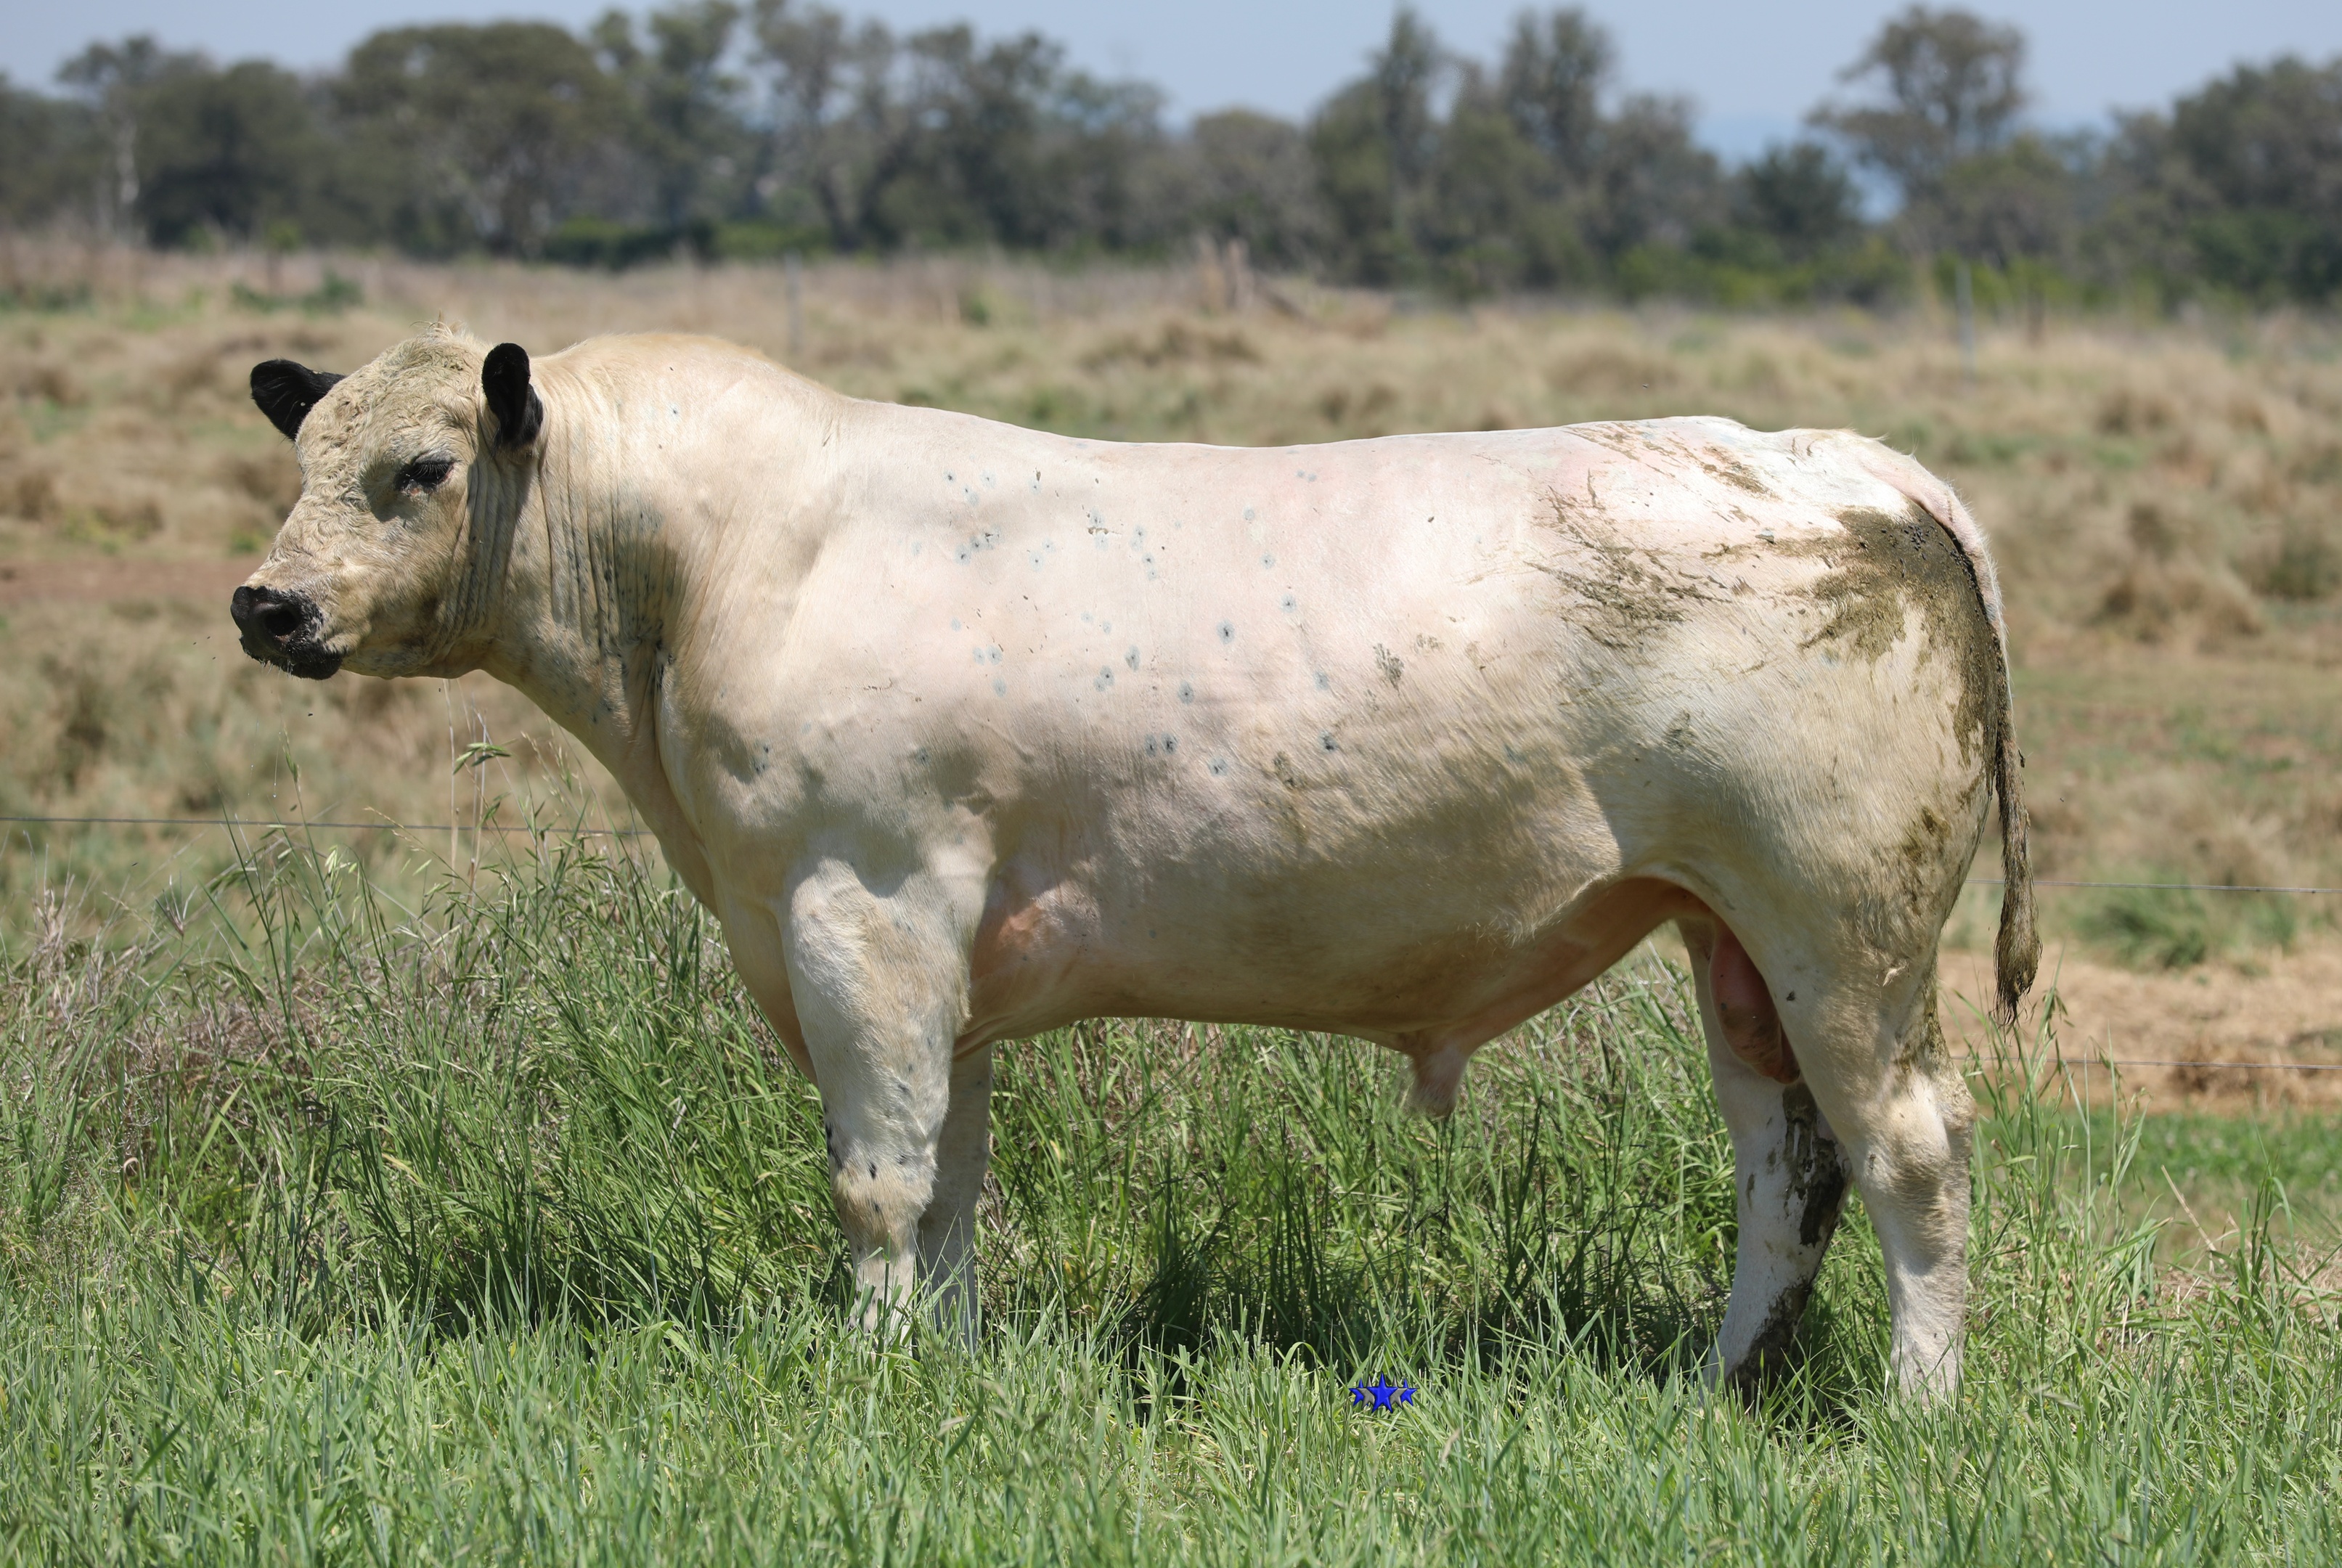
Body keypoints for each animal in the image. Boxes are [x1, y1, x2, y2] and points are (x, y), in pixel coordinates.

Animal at [233, 325, 2034, 1397]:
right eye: (301, 463)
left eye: (419, 470)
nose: (267, 603)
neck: (714, 564)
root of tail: (1838, 456)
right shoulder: (925, 953)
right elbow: (947, 1179)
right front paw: (941, 1368)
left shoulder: (860, 902)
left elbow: (875, 1182)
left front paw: (865, 1377)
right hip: (1732, 941)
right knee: (1784, 1164)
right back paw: (1726, 1383)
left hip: (1843, 926)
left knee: (1908, 1155)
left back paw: (1914, 1403)